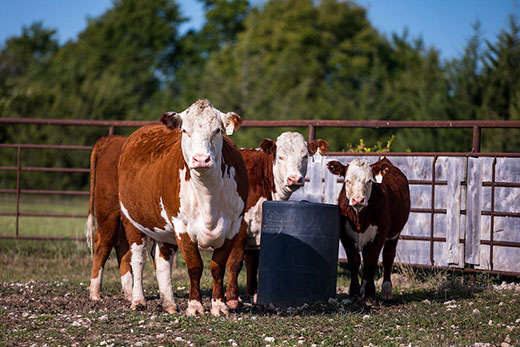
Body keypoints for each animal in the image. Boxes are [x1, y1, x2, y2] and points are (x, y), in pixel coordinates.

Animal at [330, 159, 410, 300]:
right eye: (347, 180)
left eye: (369, 181)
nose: (358, 200)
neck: (359, 217)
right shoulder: (344, 235)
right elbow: (355, 260)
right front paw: (355, 291)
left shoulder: (380, 234)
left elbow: (372, 261)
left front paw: (370, 292)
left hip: (394, 234)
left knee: (388, 257)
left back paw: (386, 290)